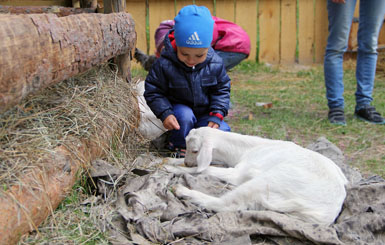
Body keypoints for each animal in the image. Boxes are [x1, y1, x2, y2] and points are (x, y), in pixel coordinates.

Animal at [164, 127, 346, 225]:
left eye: (195, 150)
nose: (187, 163)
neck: (249, 148)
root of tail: (326, 213)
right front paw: (170, 160)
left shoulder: (238, 172)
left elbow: (205, 170)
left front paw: (172, 168)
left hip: (268, 182)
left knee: (225, 204)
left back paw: (182, 191)